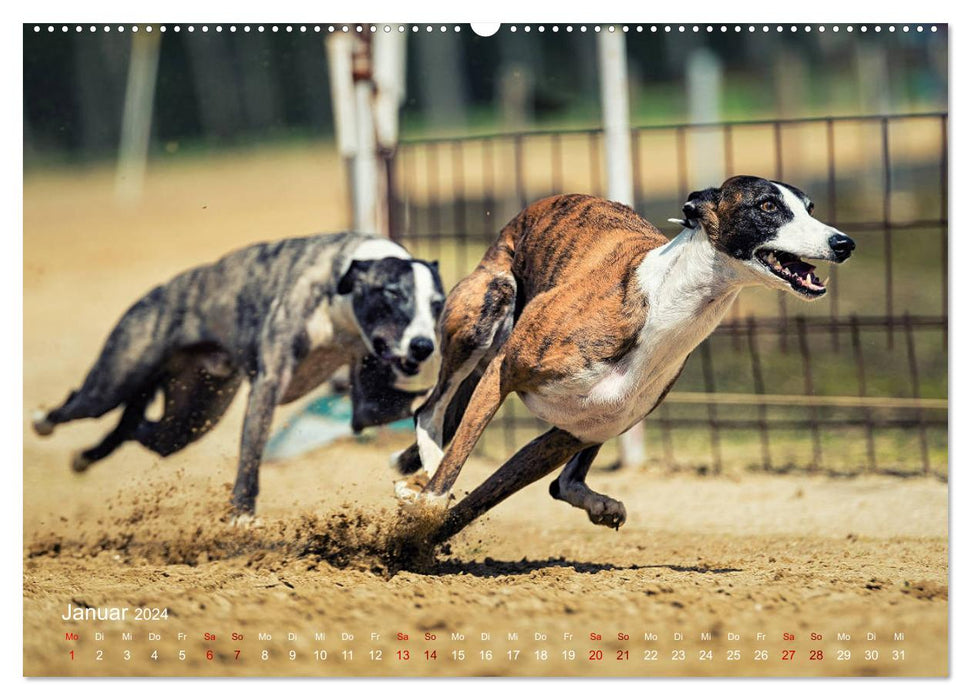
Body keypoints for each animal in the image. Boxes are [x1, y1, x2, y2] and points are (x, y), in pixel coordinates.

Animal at [32, 232, 446, 516]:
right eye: (393, 294)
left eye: (437, 304)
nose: (423, 346)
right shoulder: (268, 384)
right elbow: (250, 452)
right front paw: (242, 515)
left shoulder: (367, 404)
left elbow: (407, 408)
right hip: (114, 380)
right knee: (81, 405)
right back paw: (43, 422)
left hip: (190, 417)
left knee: (138, 427)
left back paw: (86, 456)